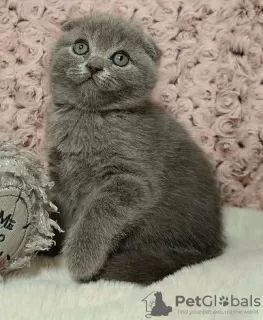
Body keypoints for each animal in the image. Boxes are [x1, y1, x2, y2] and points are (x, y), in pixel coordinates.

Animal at [44, 11, 225, 284]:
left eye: (120, 58)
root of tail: (210, 248)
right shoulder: (60, 173)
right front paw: (49, 241)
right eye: (81, 47)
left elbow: (99, 212)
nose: (94, 65)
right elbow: (59, 209)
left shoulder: (132, 180)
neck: (88, 117)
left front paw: (80, 259)